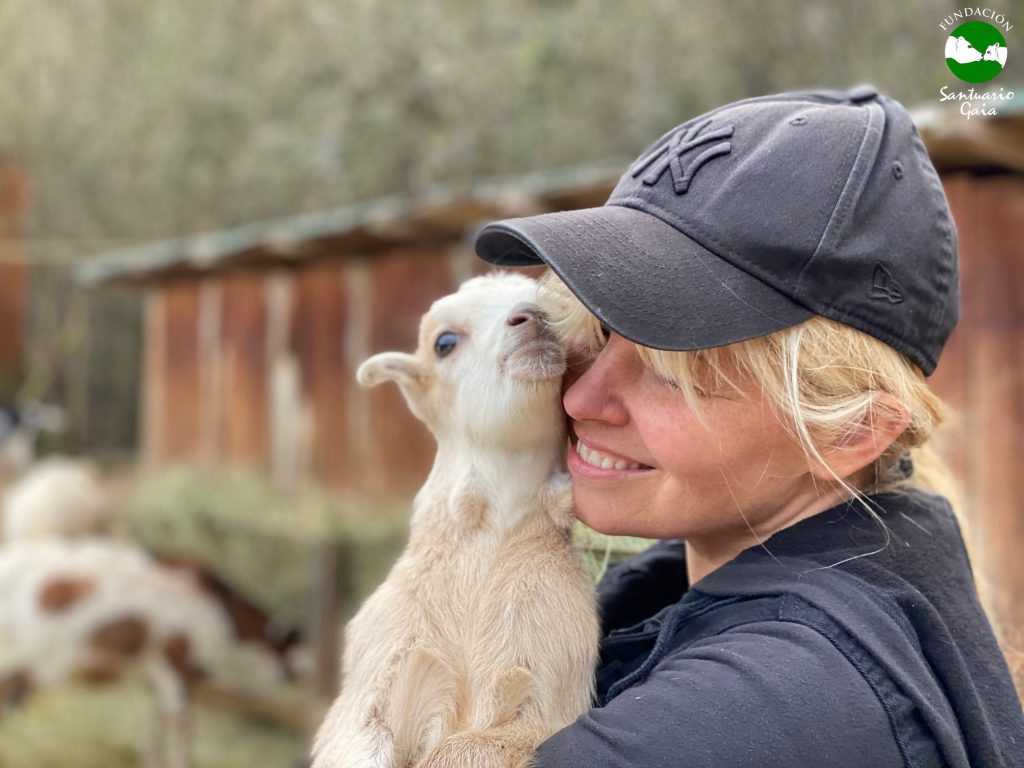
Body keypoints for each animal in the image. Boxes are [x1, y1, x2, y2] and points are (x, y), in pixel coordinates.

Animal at [311, 274, 598, 768]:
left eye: (554, 305)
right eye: (443, 342)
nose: (533, 317)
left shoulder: (550, 679)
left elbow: (466, 746)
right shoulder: (380, 670)